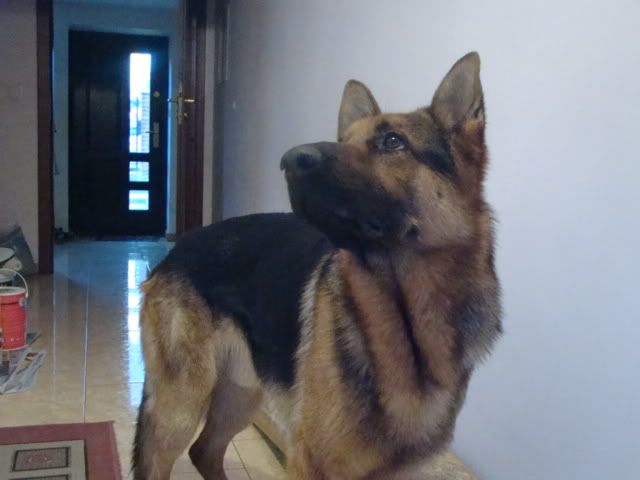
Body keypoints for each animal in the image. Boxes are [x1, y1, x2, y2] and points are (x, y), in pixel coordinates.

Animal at [132, 52, 502, 479]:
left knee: (205, 450)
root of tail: (180, 247)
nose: (289, 160)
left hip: (241, 393)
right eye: (344, 142)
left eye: (392, 141)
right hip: (182, 405)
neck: (408, 325)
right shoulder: (311, 462)